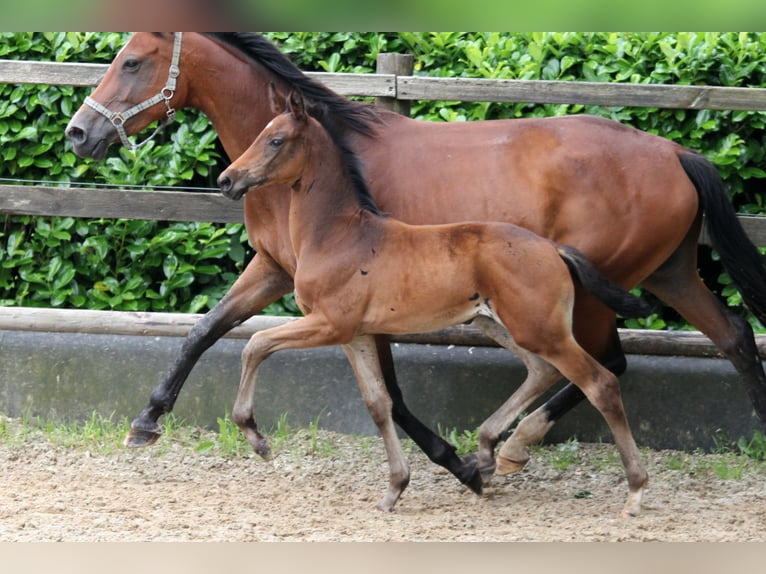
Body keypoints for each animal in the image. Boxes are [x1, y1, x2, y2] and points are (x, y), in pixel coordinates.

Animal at [216, 92, 656, 520]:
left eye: (275, 140)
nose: (227, 179)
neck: (339, 235)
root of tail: (553, 248)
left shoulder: (328, 324)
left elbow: (255, 344)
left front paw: (256, 437)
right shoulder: (356, 334)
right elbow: (379, 404)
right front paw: (394, 489)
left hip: (539, 329)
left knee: (600, 383)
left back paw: (634, 490)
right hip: (497, 324)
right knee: (541, 370)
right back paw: (486, 454)